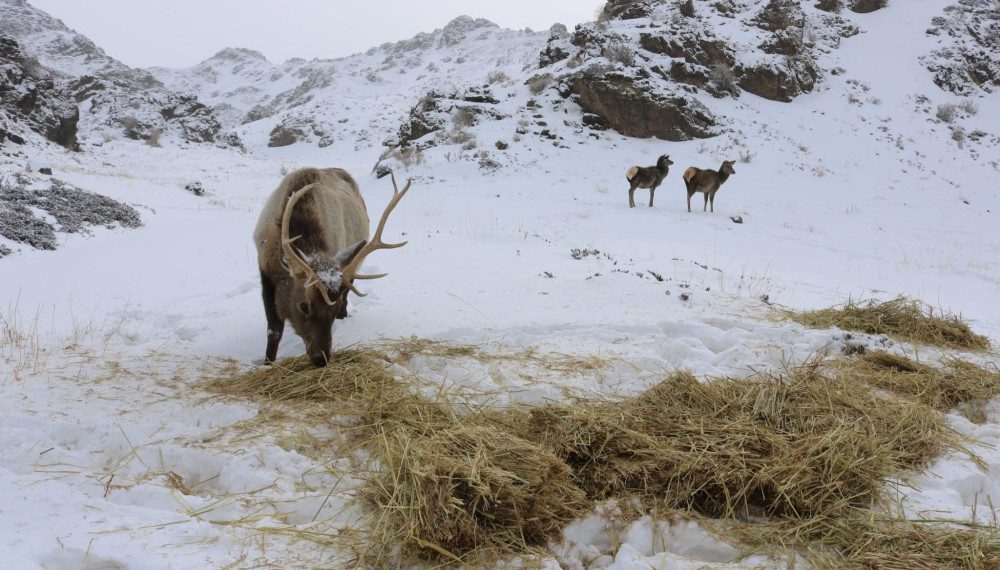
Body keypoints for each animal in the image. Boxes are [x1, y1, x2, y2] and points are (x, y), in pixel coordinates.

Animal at [254, 166, 410, 366]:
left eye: (333, 309)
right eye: (303, 306)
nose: (322, 359)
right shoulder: (265, 271)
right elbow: (273, 330)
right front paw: (268, 362)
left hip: (353, 263)